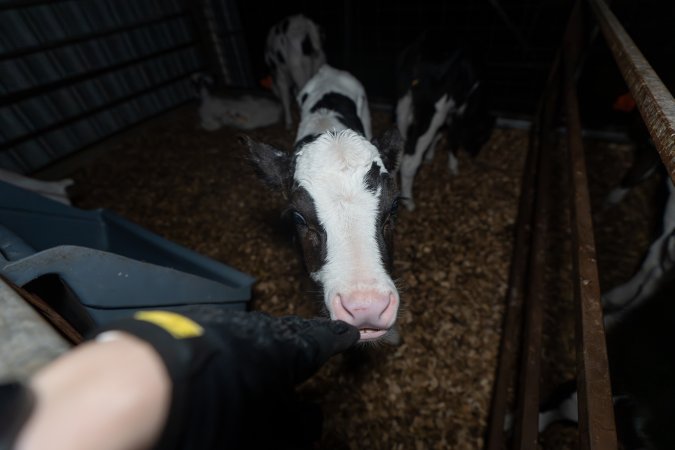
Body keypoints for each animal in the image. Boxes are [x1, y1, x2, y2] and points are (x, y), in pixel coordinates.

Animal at [395, 33, 495, 211]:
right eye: (483, 137)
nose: (474, 153)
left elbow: (440, 134)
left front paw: (430, 155)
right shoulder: (456, 110)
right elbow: (453, 136)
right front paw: (453, 167)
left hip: (403, 103)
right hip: (433, 111)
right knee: (410, 159)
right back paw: (409, 202)